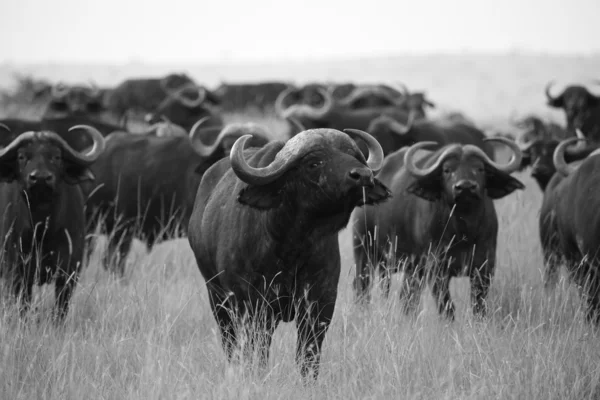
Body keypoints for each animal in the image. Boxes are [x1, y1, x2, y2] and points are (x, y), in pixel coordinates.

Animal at [0, 123, 105, 320]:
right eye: (21, 156)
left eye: (56, 156)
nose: (40, 177)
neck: (43, 229)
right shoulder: (17, 271)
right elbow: (22, 306)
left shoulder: (69, 273)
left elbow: (60, 310)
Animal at [188, 129, 392, 382]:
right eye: (314, 162)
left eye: (353, 155)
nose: (363, 175)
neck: (291, 247)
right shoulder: (253, 306)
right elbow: (257, 351)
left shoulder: (320, 303)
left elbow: (308, 355)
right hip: (218, 299)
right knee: (231, 343)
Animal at [352, 138, 524, 318]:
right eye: (447, 170)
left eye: (480, 168)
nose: (465, 187)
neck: (464, 231)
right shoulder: (436, 269)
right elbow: (447, 307)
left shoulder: (484, 268)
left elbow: (479, 306)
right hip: (363, 250)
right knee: (362, 285)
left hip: (408, 267)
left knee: (407, 296)